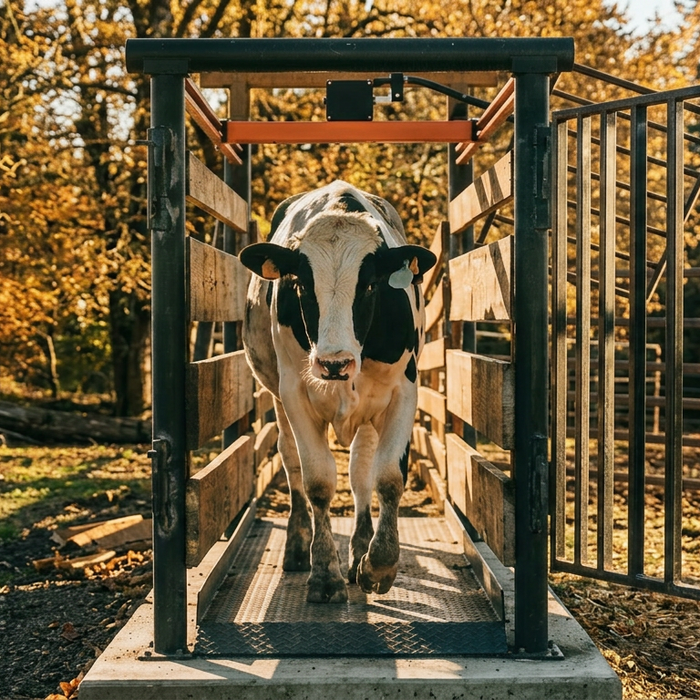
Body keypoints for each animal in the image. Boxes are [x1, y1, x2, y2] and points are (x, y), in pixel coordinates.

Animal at [238, 180, 436, 603]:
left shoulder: (403, 392)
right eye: (300, 284)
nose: (334, 363)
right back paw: (299, 547)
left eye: (370, 284)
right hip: (278, 399)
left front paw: (379, 565)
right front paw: (325, 574)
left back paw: (361, 547)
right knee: (292, 462)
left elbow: (387, 478)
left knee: (360, 472)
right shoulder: (295, 394)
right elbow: (317, 482)